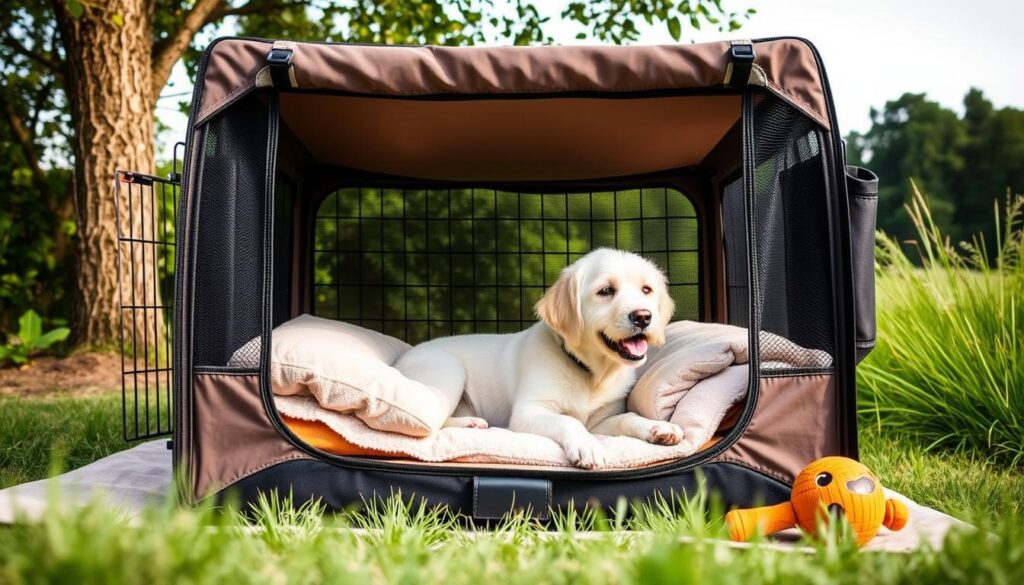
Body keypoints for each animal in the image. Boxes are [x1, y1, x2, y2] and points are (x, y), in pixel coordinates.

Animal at [395, 249, 684, 469]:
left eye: (646, 290)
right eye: (606, 291)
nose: (643, 317)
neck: (590, 373)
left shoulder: (602, 420)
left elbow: (628, 417)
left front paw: (658, 427)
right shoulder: (529, 412)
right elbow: (568, 420)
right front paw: (587, 446)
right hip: (449, 372)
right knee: (428, 421)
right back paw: (470, 423)